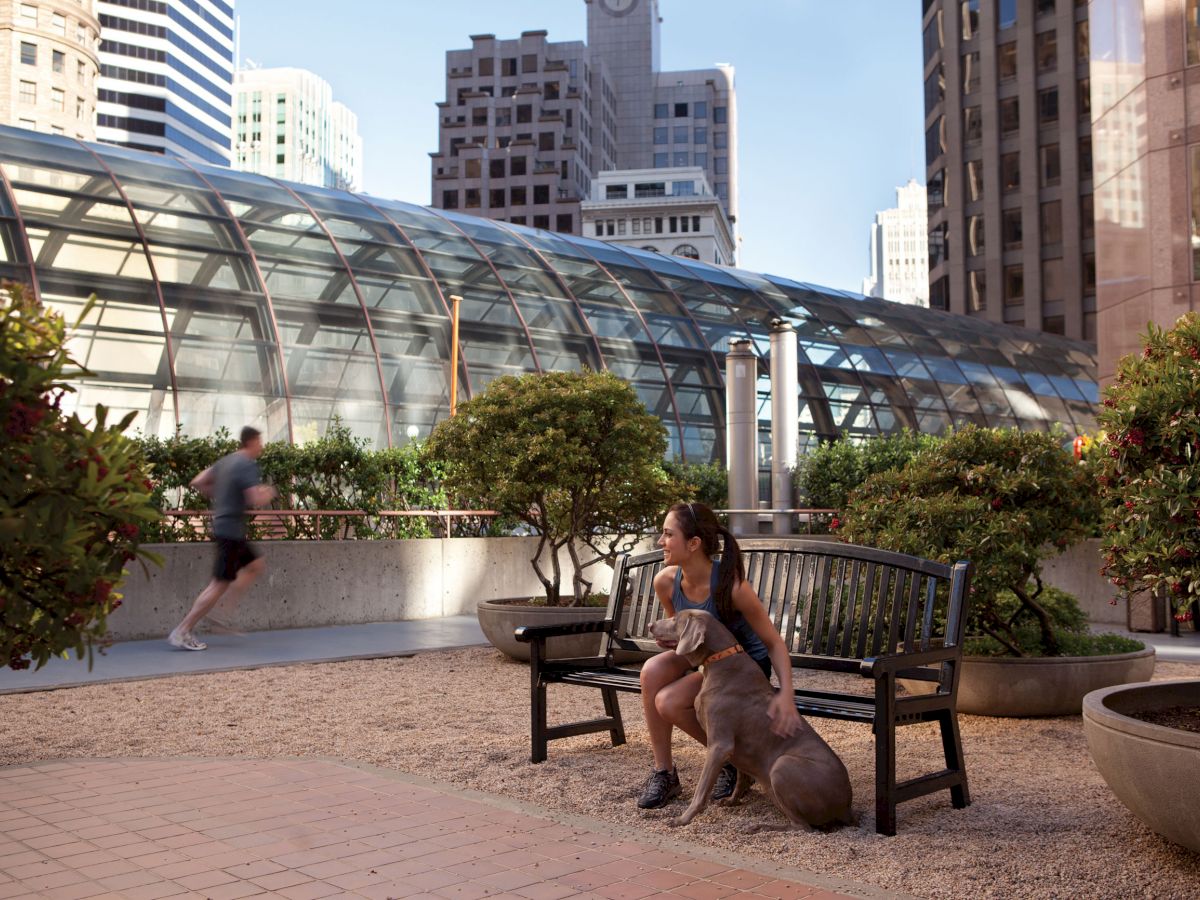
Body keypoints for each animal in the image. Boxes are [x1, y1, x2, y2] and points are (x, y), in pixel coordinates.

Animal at [648, 609, 854, 835]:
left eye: (676, 619)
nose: (650, 625)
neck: (718, 661)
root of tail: (847, 805)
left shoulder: (720, 744)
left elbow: (701, 790)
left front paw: (683, 819)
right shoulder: (736, 747)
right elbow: (741, 776)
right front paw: (732, 800)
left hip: (782, 766)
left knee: (803, 827)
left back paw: (758, 826)